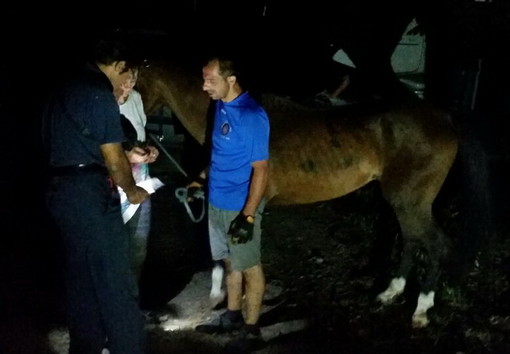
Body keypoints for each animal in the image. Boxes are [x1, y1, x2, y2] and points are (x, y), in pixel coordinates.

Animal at [135, 59, 458, 328]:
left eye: (134, 87)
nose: (133, 140)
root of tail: (446, 123)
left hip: (411, 202)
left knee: (437, 245)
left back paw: (421, 309)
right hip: (403, 203)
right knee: (411, 240)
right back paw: (390, 292)